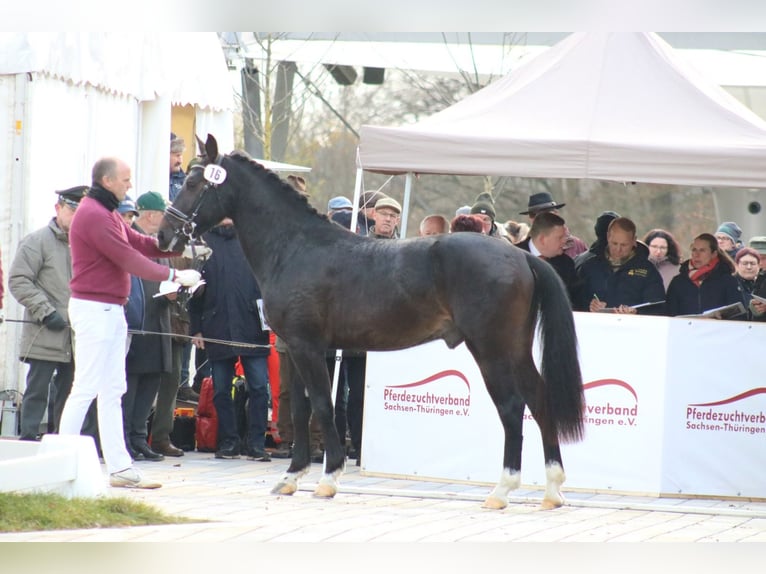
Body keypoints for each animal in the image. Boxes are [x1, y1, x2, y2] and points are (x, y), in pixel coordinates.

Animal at [158, 134, 585, 510]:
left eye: (194, 182)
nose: (164, 235)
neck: (295, 247)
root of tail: (521, 256)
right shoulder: (297, 350)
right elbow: (300, 410)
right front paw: (292, 477)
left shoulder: (309, 347)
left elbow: (322, 407)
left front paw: (328, 479)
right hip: (516, 349)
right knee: (539, 400)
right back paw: (552, 490)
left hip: (491, 350)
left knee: (512, 408)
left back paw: (501, 491)